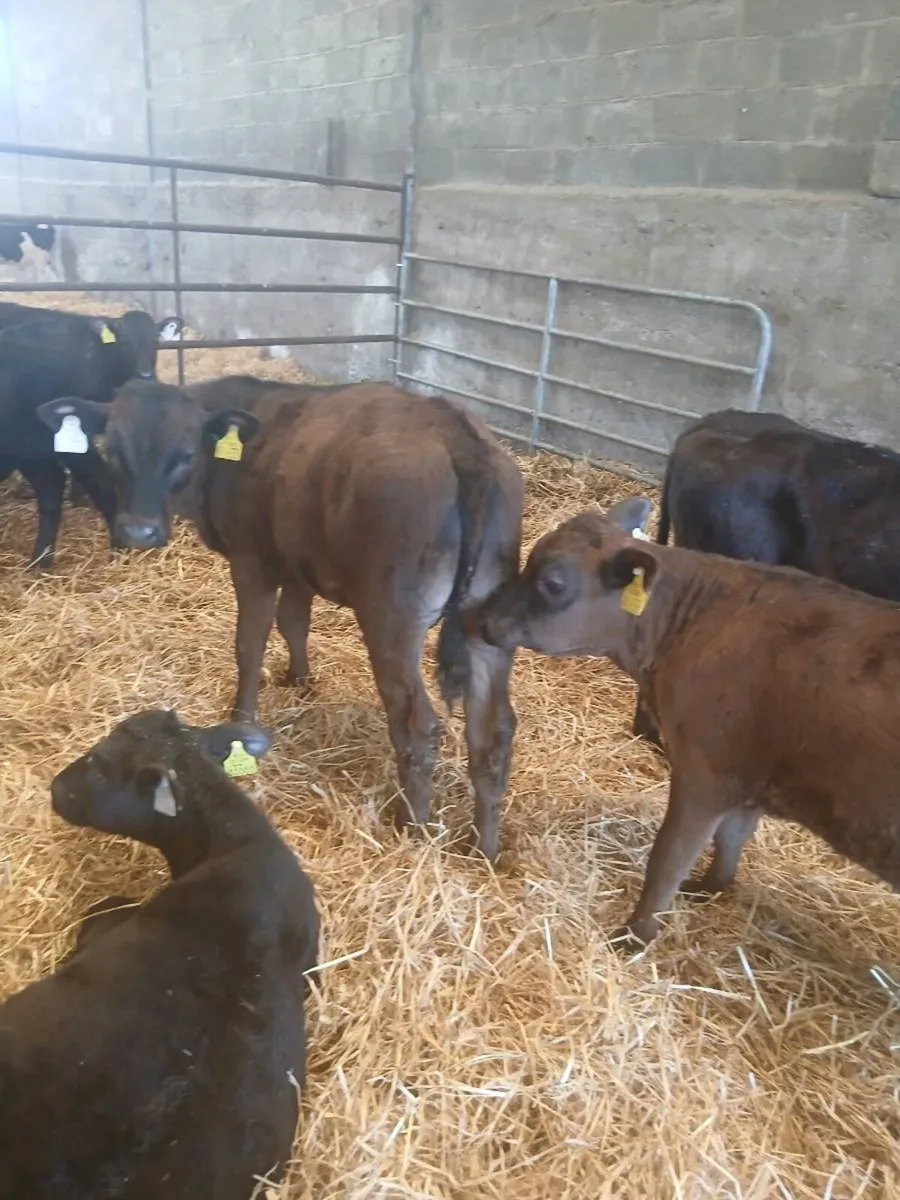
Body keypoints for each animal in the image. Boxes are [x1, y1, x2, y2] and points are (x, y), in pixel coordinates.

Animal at [36, 376, 524, 860]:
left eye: (186, 454)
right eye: (111, 450)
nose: (138, 531)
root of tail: (454, 431)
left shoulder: (251, 562)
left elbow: (249, 646)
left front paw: (243, 716)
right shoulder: (295, 562)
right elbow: (294, 622)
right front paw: (300, 679)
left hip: (392, 619)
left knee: (417, 725)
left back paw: (411, 827)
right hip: (485, 629)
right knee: (494, 731)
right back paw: (485, 847)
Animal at [475, 497, 900, 950]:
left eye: (552, 584)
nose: (484, 618)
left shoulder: (704, 774)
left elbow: (669, 858)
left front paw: (635, 936)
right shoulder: (745, 774)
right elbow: (732, 837)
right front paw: (711, 887)